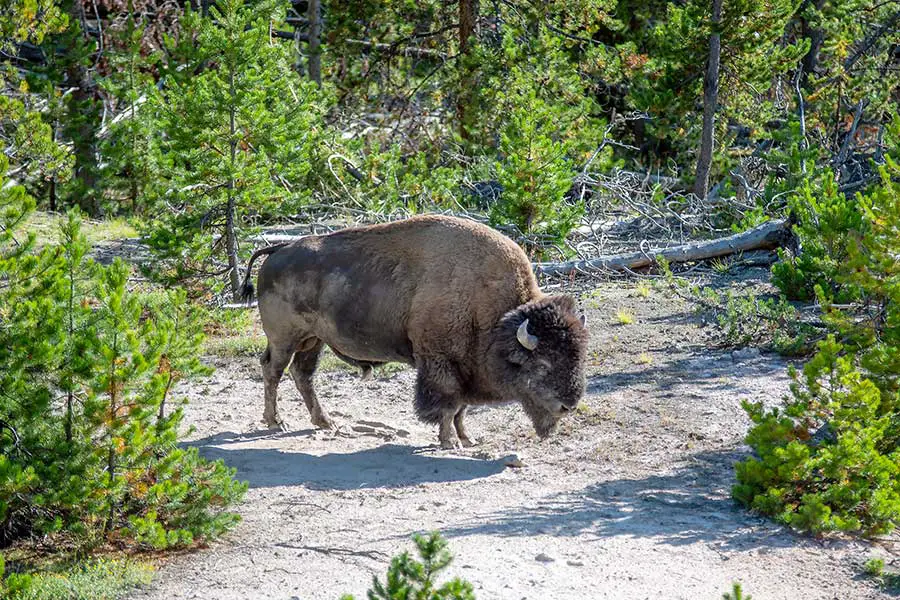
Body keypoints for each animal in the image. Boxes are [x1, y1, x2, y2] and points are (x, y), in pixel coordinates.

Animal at [241, 214, 592, 446]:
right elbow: (447, 404)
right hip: (286, 338)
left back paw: (325, 422)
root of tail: (278, 249)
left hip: (314, 340)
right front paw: (450, 442)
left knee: (303, 375)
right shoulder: (440, 363)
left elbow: (461, 408)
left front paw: (468, 439)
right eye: (542, 364)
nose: (568, 406)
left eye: (579, 358)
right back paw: (277, 422)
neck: (495, 314)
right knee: (273, 370)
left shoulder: (465, 369)